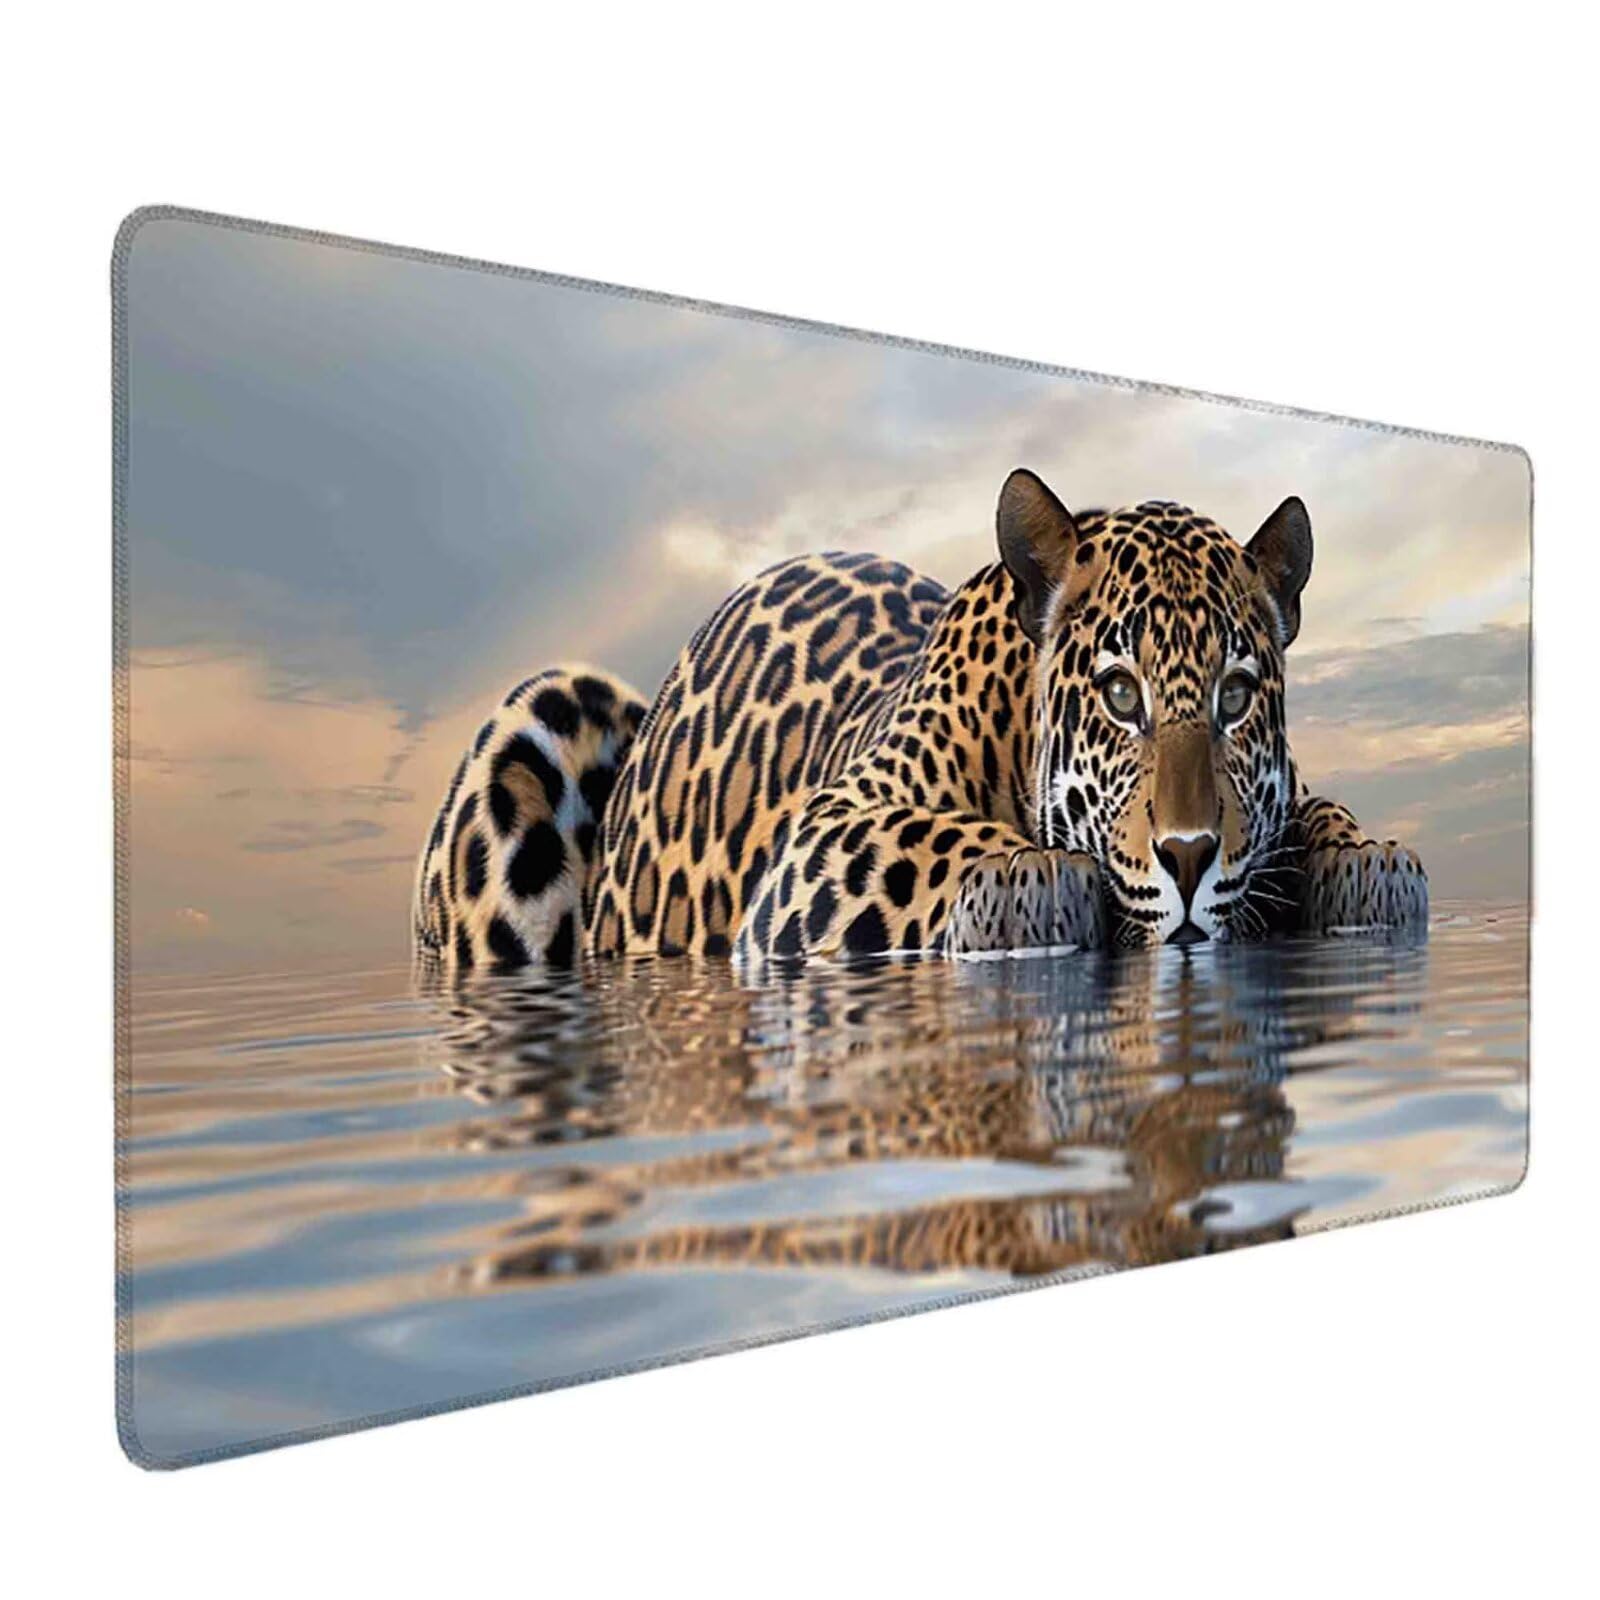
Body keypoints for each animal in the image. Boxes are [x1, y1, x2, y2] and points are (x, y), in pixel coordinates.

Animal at [412, 468, 1427, 976]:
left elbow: (1317, 816)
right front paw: (1031, 880)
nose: (1186, 857)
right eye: (1119, 694)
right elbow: (936, 839)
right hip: (543, 711)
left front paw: (1367, 865)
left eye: (1235, 697)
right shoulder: (820, 841)